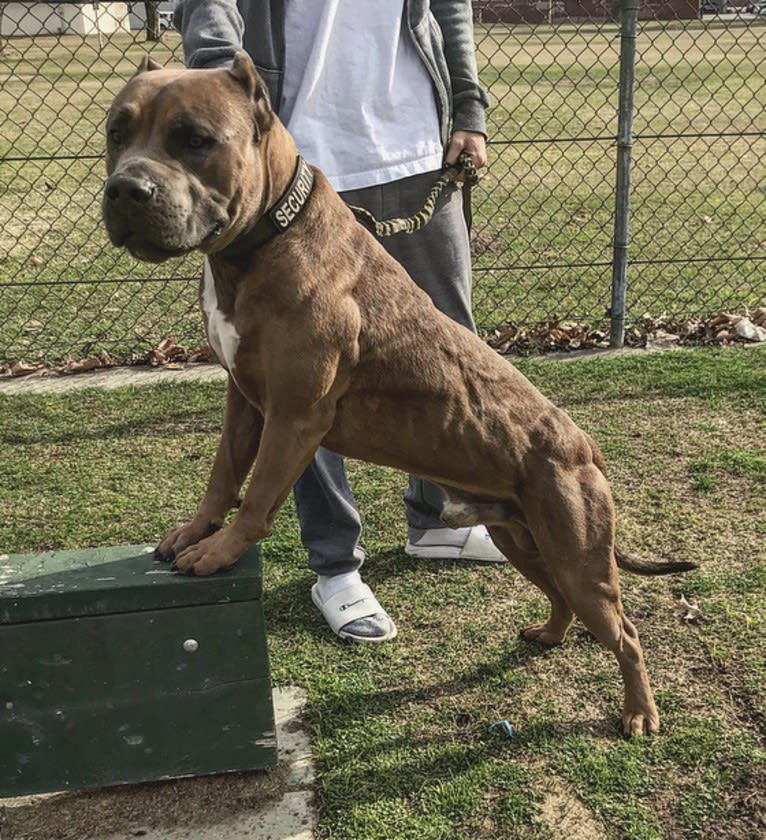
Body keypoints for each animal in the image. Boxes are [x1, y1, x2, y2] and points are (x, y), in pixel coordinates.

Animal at [102, 54, 696, 736]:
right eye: (117, 133)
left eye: (195, 140)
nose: (125, 189)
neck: (259, 244)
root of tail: (585, 447)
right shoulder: (245, 403)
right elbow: (222, 476)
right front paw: (197, 530)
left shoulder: (294, 418)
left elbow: (254, 500)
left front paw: (219, 550)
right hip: (524, 539)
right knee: (559, 598)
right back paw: (549, 634)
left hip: (579, 556)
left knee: (625, 632)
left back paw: (639, 713)